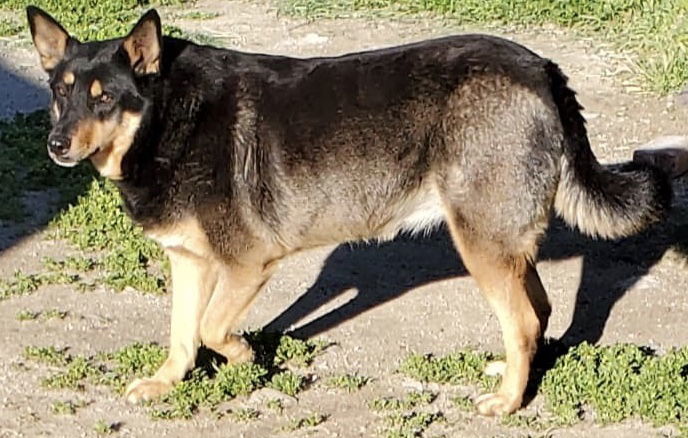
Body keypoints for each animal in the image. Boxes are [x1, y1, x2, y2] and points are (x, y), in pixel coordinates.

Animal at [26, 6, 672, 416]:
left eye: (104, 99)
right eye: (59, 92)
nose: (55, 144)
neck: (166, 116)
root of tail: (541, 68)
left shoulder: (249, 264)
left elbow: (210, 329)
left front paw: (244, 358)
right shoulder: (188, 261)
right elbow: (183, 336)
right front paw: (168, 382)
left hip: (479, 243)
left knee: (525, 322)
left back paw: (510, 401)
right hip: (497, 241)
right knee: (538, 312)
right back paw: (522, 374)